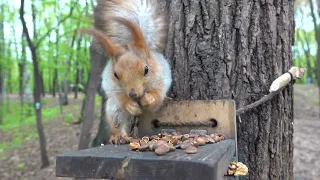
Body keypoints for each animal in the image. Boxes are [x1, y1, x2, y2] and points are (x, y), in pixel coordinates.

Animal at [78, 0, 171, 143]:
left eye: (146, 69)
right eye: (115, 74)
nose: (133, 94)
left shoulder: (162, 76)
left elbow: (158, 94)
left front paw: (149, 98)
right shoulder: (111, 84)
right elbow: (119, 96)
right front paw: (129, 104)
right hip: (113, 109)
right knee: (117, 122)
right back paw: (118, 136)